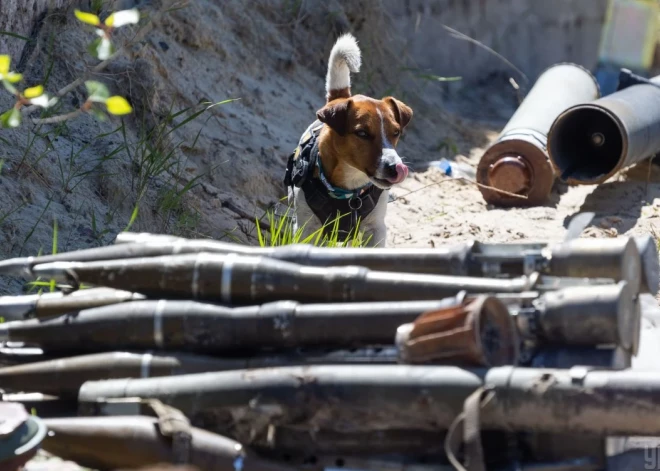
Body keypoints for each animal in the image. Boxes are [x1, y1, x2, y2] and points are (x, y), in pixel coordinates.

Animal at [284, 32, 412, 247]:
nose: (396, 168)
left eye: (396, 133)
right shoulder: (306, 227)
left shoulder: (375, 229)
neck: (350, 189)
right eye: (362, 133)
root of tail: (340, 97)